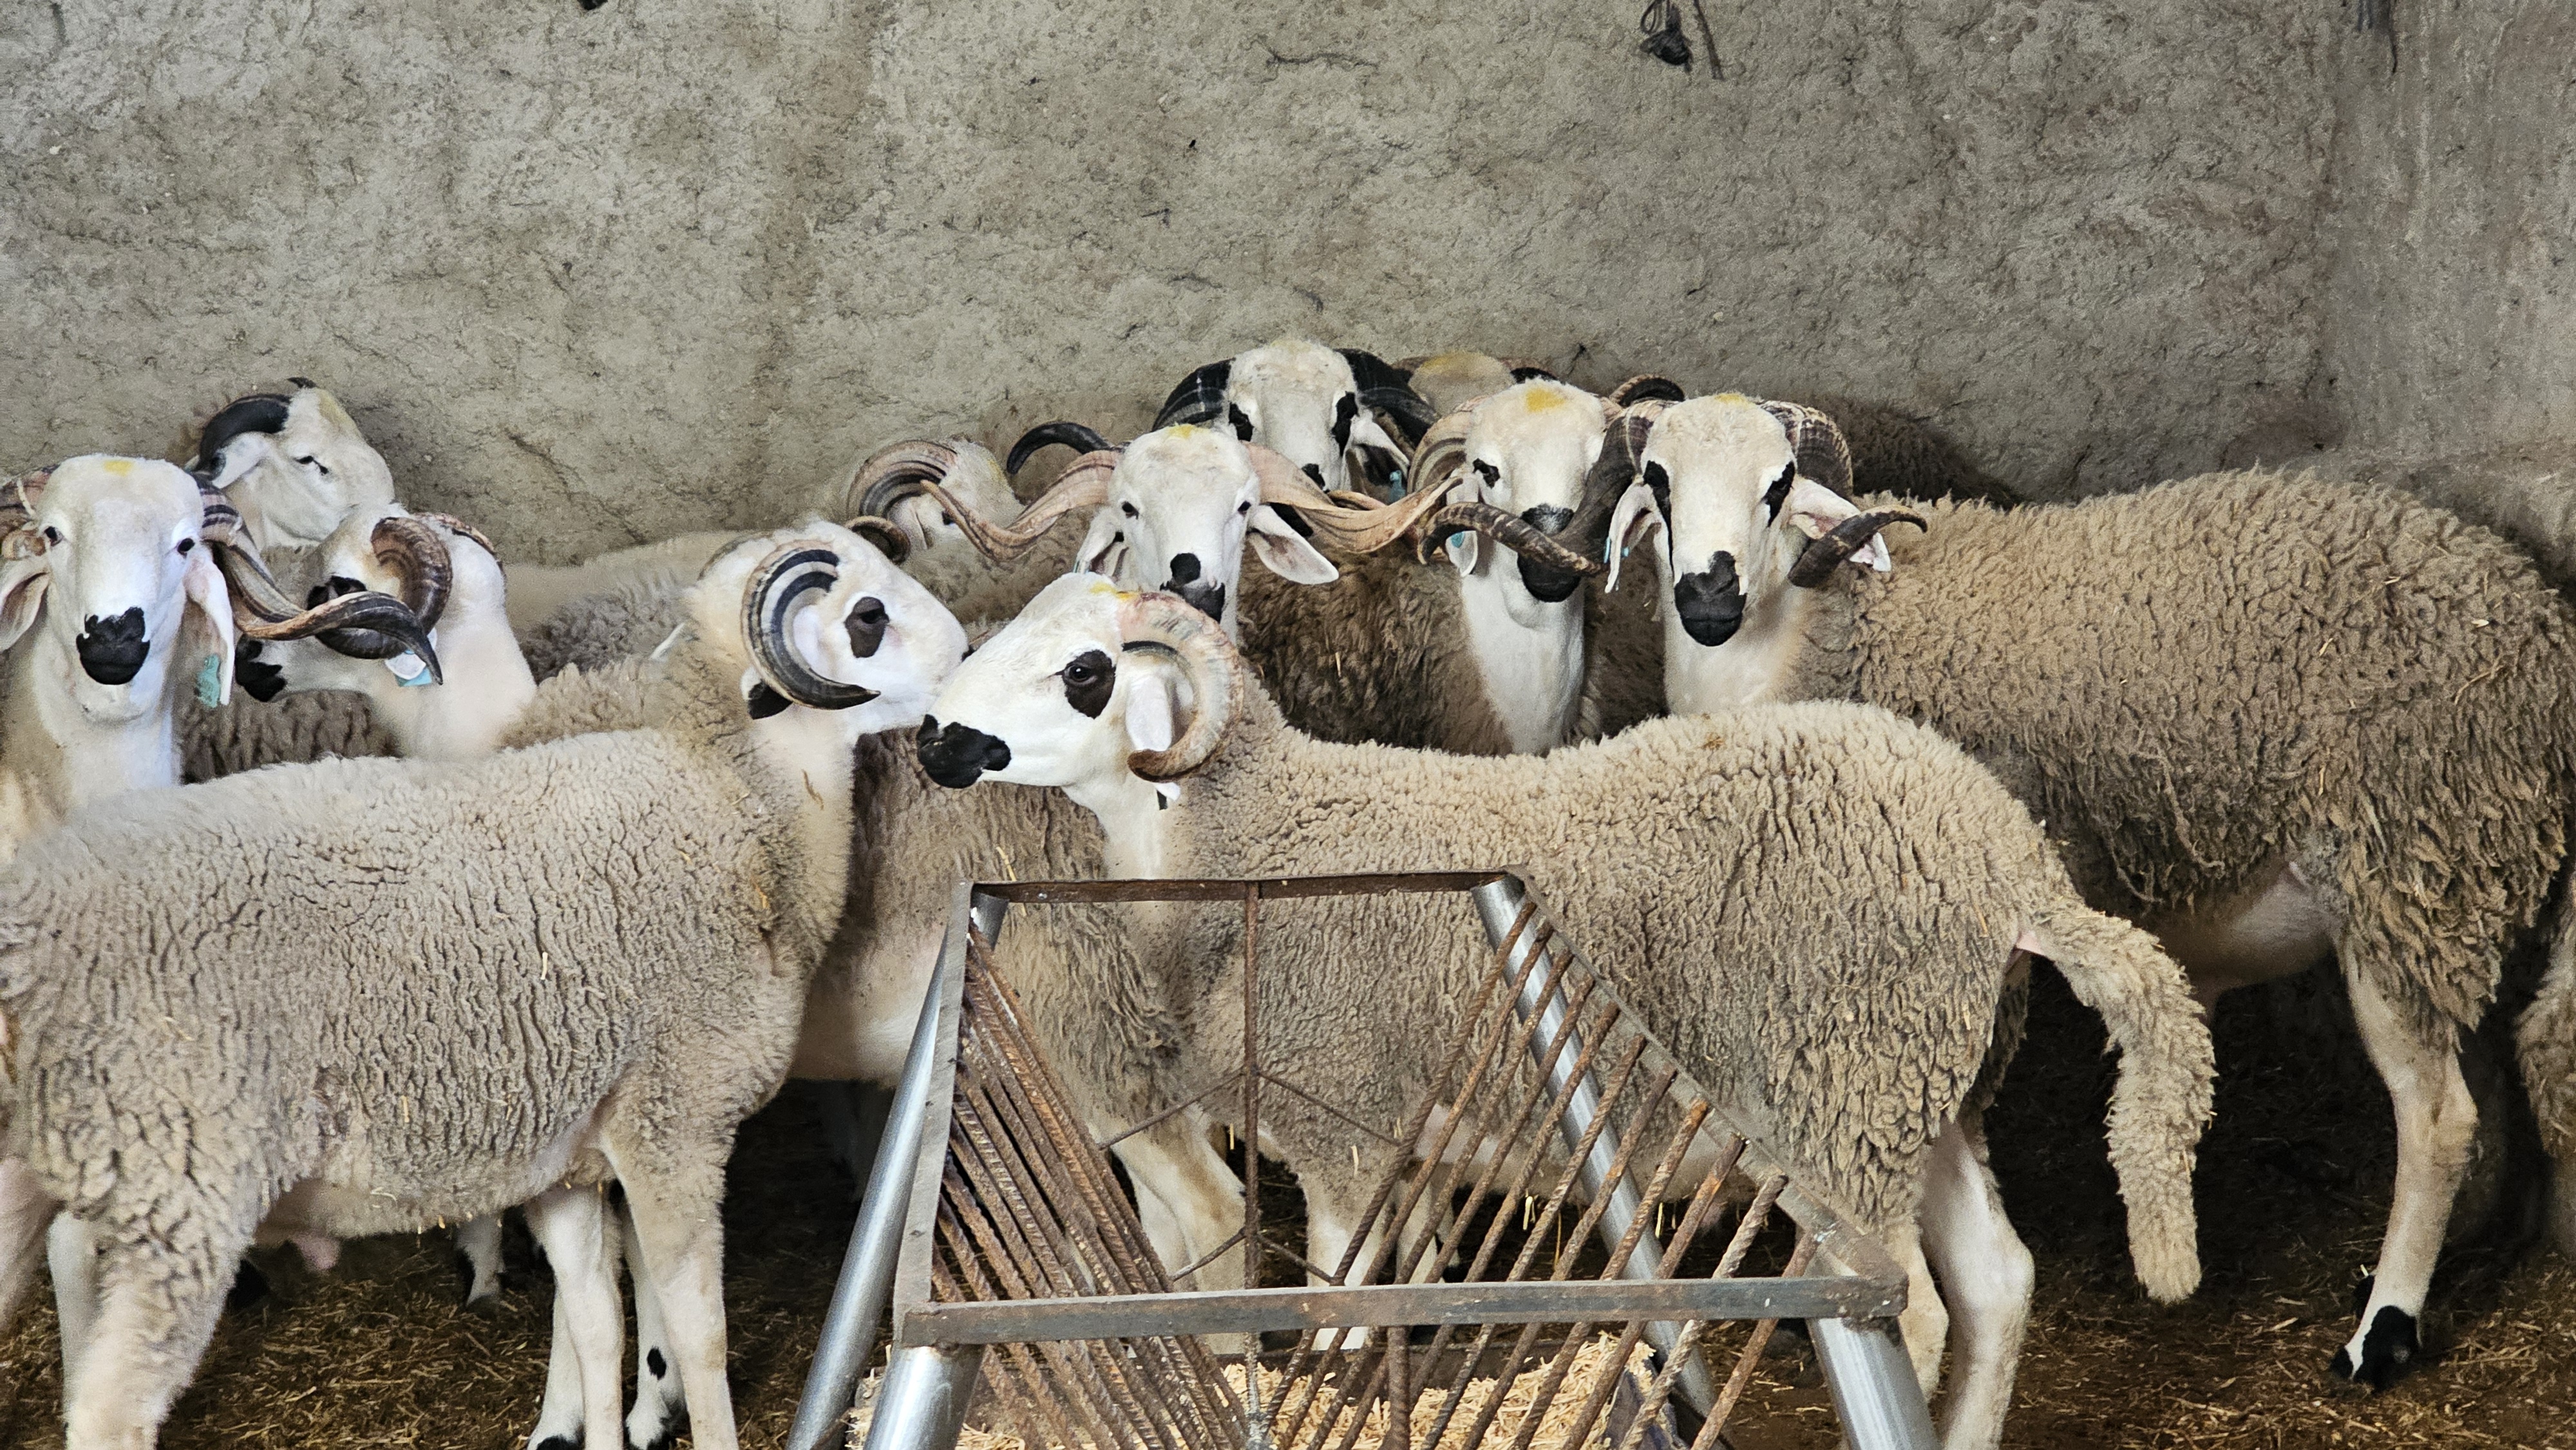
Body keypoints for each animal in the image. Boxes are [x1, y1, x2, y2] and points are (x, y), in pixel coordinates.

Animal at [0, 520, 968, 1450]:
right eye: (867, 617)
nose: (967, 656)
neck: (735, 793)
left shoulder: (569, 1161)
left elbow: (596, 1320)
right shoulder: (674, 1128)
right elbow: (700, 1336)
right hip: (182, 1199)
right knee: (110, 1413)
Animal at [914, 575, 2216, 1450]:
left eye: (1086, 671)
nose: (932, 738)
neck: (1258, 829)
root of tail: (2011, 861)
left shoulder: (1342, 1127)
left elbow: (1337, 1330)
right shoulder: (1399, 1148)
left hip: (1843, 1086)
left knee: (1924, 1314)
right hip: (1923, 1090)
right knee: (2000, 1282)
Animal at [1597, 392, 2576, 1389]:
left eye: (1780, 484)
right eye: (1658, 482)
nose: (1707, 599)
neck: (1805, 638)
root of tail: (2539, 620)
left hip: (2405, 870)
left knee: (2439, 1117)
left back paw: (2384, 1330)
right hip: (2472, 881)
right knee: (2490, 1086)